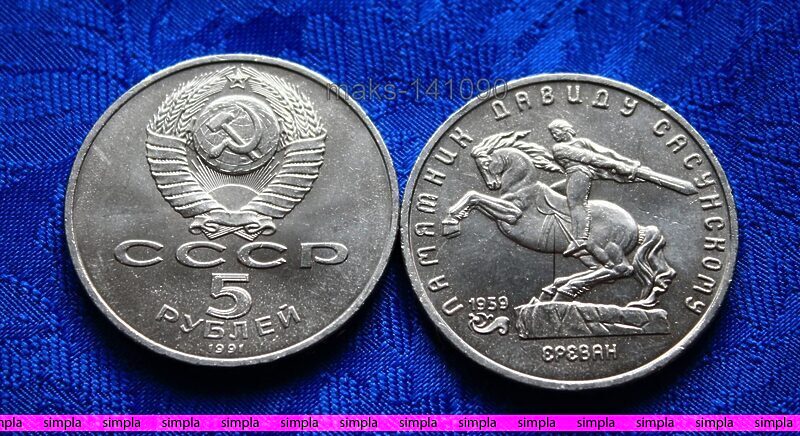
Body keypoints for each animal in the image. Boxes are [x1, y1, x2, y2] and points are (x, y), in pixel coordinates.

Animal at [443, 131, 675, 307]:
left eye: (485, 162)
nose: (492, 185)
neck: (521, 185)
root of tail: (636, 226)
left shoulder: (513, 213)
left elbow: (474, 196)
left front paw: (451, 222)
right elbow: (475, 198)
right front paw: (453, 218)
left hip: (604, 247)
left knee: (621, 269)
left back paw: (564, 288)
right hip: (587, 253)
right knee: (603, 270)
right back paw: (557, 287)